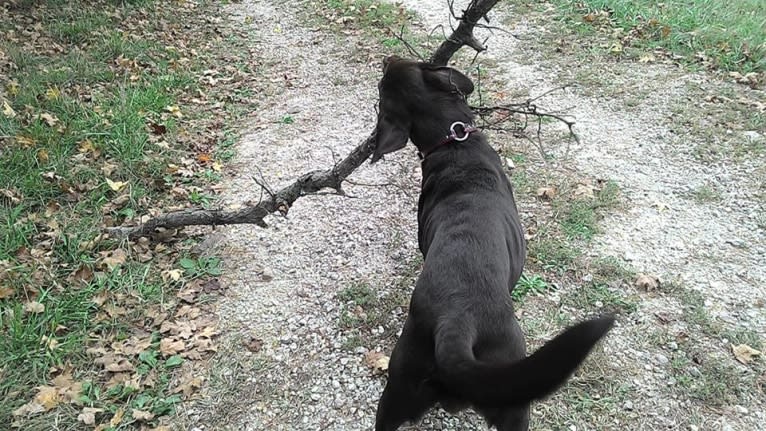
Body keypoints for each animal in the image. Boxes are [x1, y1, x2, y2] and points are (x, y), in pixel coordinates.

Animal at [372, 55, 616, 430]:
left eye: (404, 66)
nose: (386, 59)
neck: (454, 144)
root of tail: (455, 323)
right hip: (514, 397)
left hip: (400, 385)